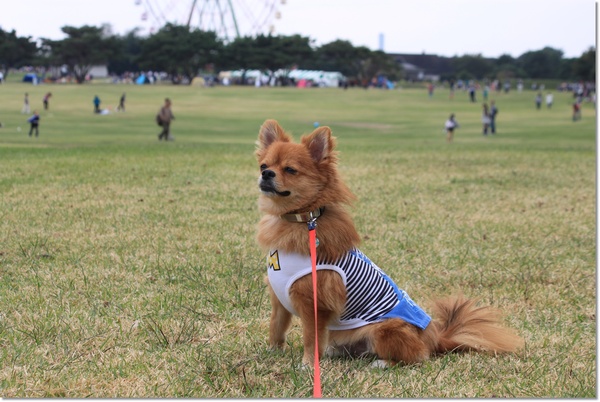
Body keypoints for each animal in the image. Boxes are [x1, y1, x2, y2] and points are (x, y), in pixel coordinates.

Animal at [255, 119, 524, 368]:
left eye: (290, 170)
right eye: (264, 165)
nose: (266, 174)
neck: (300, 219)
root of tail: (434, 338)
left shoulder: (315, 305)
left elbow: (311, 339)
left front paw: (308, 365)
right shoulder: (278, 298)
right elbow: (276, 327)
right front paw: (272, 351)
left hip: (384, 328)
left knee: (415, 356)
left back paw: (383, 363)